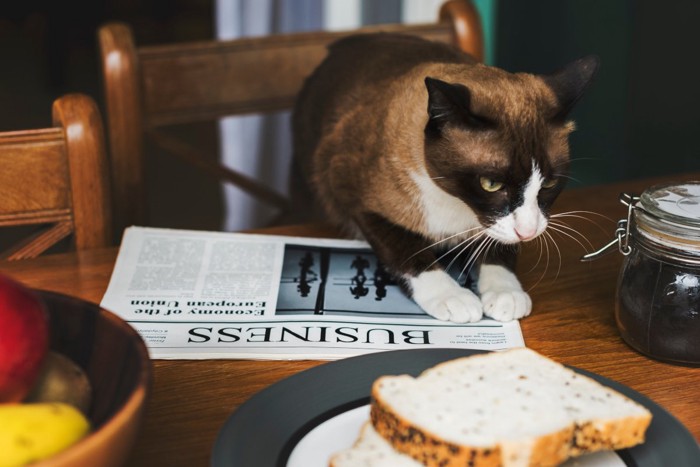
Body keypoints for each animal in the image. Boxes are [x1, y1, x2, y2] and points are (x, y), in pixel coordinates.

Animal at [290, 33, 596, 326]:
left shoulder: (496, 226)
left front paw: (505, 292)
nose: (529, 232)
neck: (457, 206)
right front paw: (452, 297)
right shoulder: (354, 197)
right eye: (491, 184)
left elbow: (499, 246)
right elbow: (407, 249)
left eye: (548, 184)